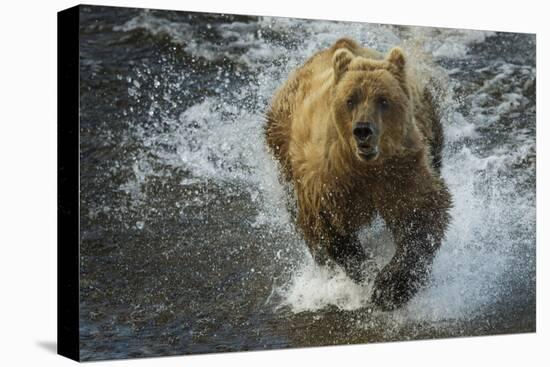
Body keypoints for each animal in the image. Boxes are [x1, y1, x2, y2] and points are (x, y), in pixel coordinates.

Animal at [266, 38, 452, 310]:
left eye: (383, 100)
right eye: (350, 99)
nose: (363, 130)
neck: (365, 167)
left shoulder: (401, 171)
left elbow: (421, 215)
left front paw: (390, 287)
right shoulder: (329, 180)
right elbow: (328, 226)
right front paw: (367, 272)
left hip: (428, 122)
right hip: (282, 143)